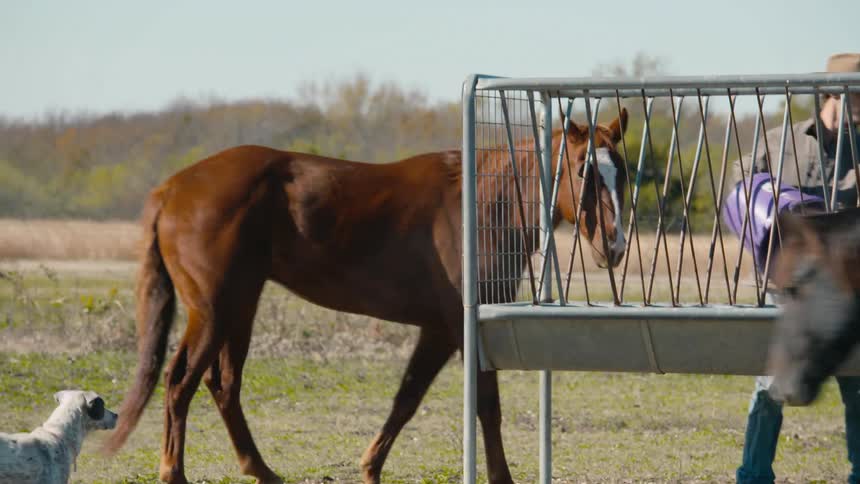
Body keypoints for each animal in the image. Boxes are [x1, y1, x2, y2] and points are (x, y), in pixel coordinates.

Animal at [102, 107, 629, 484]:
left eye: (622, 171)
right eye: (582, 170)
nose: (615, 246)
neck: (480, 205)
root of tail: (174, 188)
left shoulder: (439, 330)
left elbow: (407, 398)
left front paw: (370, 466)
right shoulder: (460, 328)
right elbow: (485, 406)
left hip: (240, 305)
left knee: (222, 384)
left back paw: (261, 470)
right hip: (213, 310)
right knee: (181, 382)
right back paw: (175, 472)